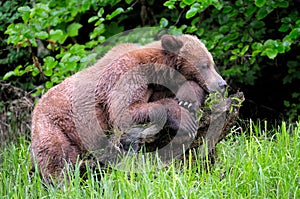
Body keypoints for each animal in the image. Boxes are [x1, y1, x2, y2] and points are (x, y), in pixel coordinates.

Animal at [31, 34, 227, 182]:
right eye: (204, 65)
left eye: (212, 63)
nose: (222, 84)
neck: (155, 71)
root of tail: (36, 108)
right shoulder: (125, 75)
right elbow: (126, 111)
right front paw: (185, 120)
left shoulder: (156, 87)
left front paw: (188, 100)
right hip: (54, 126)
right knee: (56, 159)